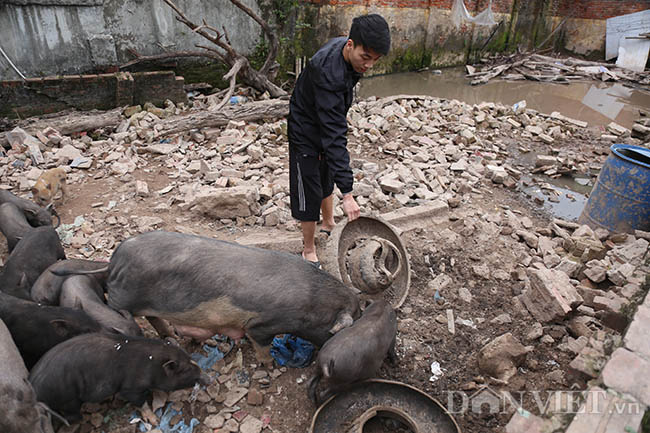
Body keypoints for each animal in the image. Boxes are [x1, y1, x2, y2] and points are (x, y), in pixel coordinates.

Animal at [29, 332, 210, 420]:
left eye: (192, 359)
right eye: (185, 370)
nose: (209, 379)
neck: (152, 365)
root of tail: (33, 385)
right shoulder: (131, 386)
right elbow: (139, 400)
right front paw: (154, 419)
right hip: (68, 399)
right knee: (72, 414)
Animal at [53, 231, 360, 362]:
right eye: (353, 319)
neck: (313, 303)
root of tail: (114, 260)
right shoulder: (261, 325)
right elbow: (261, 345)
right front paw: (270, 364)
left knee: (154, 318)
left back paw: (174, 337)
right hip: (121, 299)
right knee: (124, 312)